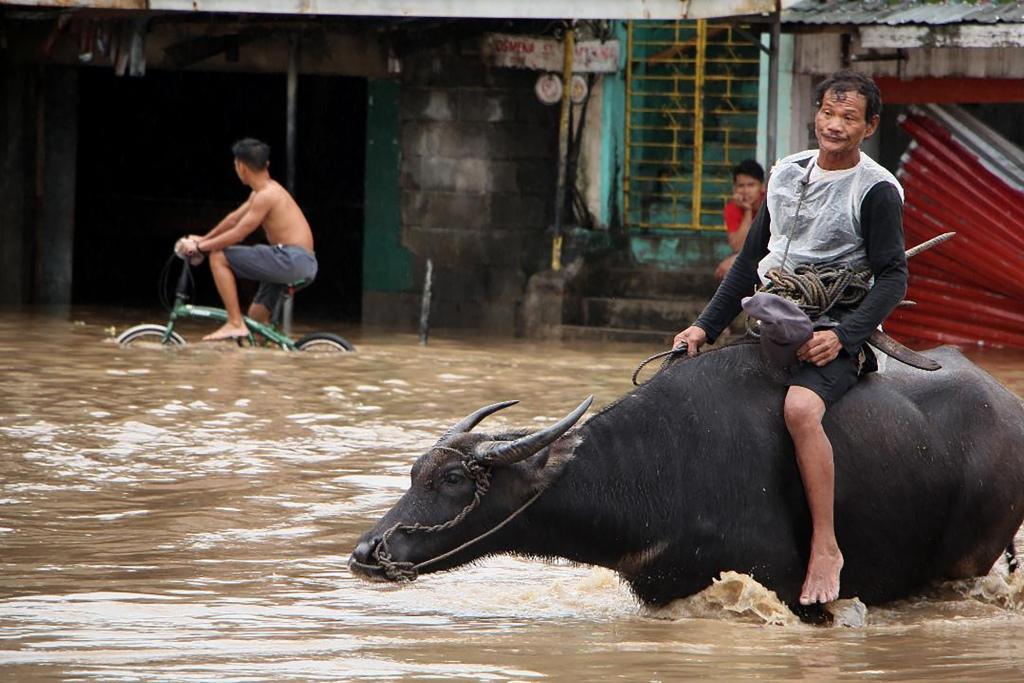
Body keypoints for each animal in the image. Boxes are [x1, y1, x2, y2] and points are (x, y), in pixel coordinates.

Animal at [350, 344, 1024, 610]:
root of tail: (1007, 403)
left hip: (967, 559)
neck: (659, 468)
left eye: (454, 481)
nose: (366, 552)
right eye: (414, 473)